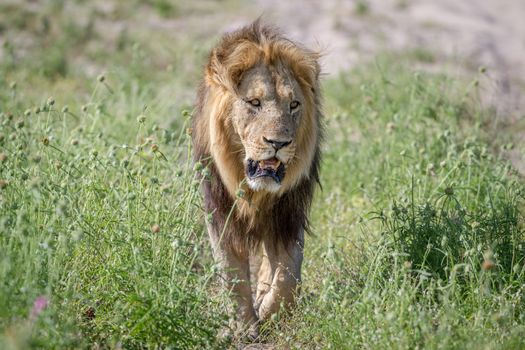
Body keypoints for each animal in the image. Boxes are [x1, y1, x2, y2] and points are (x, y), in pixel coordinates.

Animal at [192, 20, 322, 338]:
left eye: (294, 105)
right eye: (254, 102)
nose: (279, 143)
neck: (256, 192)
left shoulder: (288, 214)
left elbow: (288, 274)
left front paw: (271, 313)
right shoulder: (219, 212)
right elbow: (231, 275)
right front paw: (243, 328)